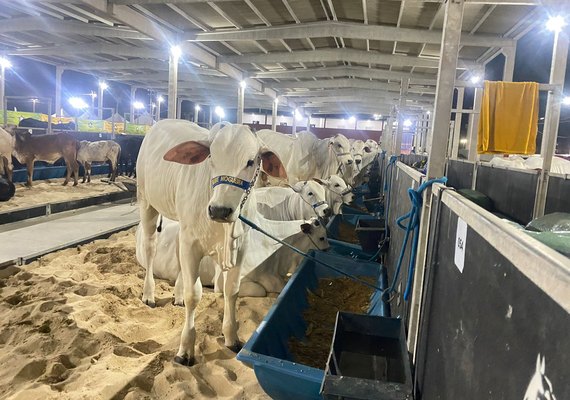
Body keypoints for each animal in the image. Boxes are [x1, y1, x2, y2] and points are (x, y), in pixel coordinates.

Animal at [136, 120, 286, 368]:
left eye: (251, 161)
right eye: (211, 158)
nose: (219, 210)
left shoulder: (240, 245)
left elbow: (231, 290)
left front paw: (231, 336)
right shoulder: (191, 243)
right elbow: (194, 295)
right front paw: (185, 349)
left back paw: (176, 296)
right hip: (146, 202)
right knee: (150, 247)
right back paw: (149, 294)